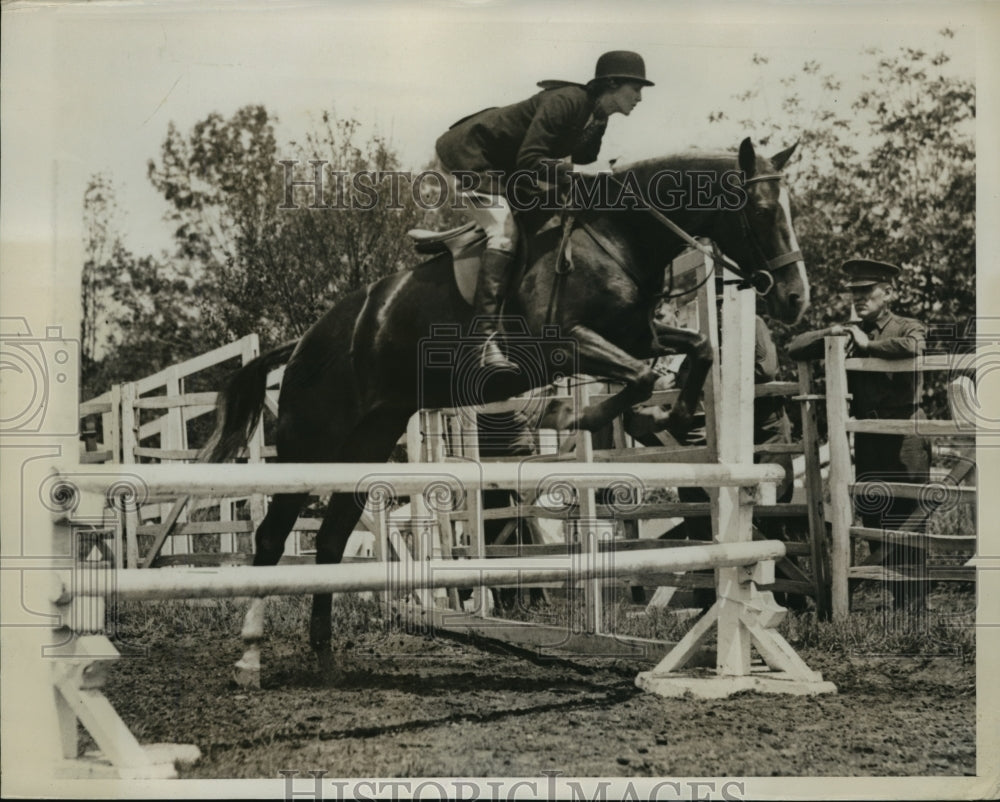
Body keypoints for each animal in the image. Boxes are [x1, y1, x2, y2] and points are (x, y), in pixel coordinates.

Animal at [207, 136, 808, 668]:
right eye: (760, 210)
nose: (795, 299)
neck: (618, 233)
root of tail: (302, 342)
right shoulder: (569, 342)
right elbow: (637, 379)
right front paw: (585, 414)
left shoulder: (638, 334)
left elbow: (699, 349)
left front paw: (671, 413)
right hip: (312, 444)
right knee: (271, 537)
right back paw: (250, 657)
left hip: (368, 443)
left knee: (330, 542)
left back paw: (324, 657)